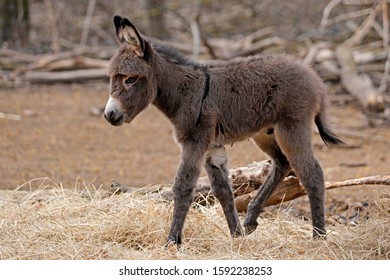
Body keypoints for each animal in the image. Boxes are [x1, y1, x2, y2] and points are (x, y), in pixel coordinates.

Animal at [104, 15, 344, 245]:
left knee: (312, 174)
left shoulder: (194, 142)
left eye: (130, 79)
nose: (109, 115)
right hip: (265, 133)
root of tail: (314, 77)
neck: (185, 92)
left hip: (292, 128)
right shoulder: (212, 146)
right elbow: (223, 191)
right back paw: (251, 219)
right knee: (282, 163)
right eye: (112, 78)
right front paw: (236, 235)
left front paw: (172, 241)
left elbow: (183, 188)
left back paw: (319, 237)